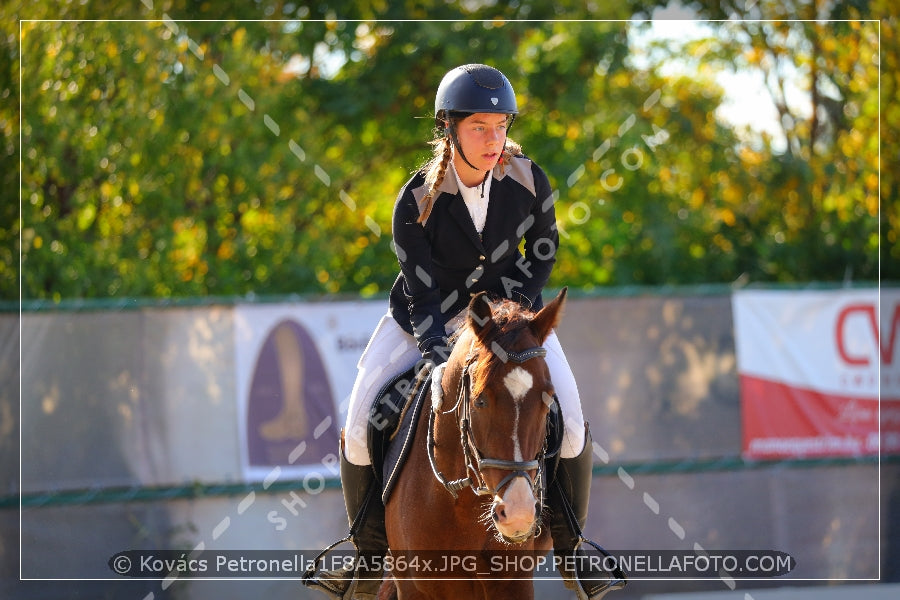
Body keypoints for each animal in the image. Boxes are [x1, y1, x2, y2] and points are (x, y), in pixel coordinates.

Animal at [382, 288, 568, 596]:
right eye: (479, 400)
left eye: (548, 400)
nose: (518, 514)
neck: (461, 502)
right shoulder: (413, 586)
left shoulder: (513, 583)